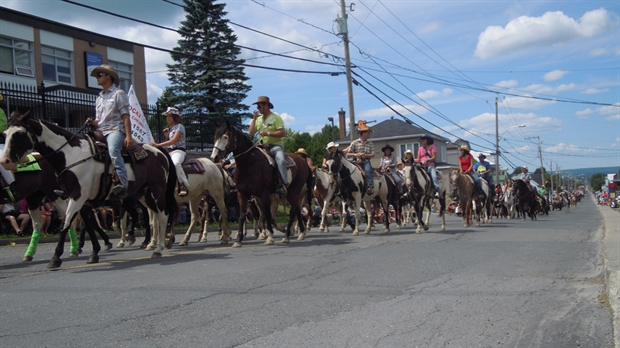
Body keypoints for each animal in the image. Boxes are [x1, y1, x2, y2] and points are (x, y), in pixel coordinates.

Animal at [1, 110, 178, 268]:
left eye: (18, 134)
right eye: (5, 134)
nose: (5, 161)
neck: (71, 155)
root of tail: (158, 150)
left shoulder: (77, 197)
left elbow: (66, 223)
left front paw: (56, 258)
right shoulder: (82, 200)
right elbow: (87, 224)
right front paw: (94, 253)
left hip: (157, 190)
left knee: (162, 215)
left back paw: (158, 247)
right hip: (143, 194)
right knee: (154, 216)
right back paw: (155, 242)